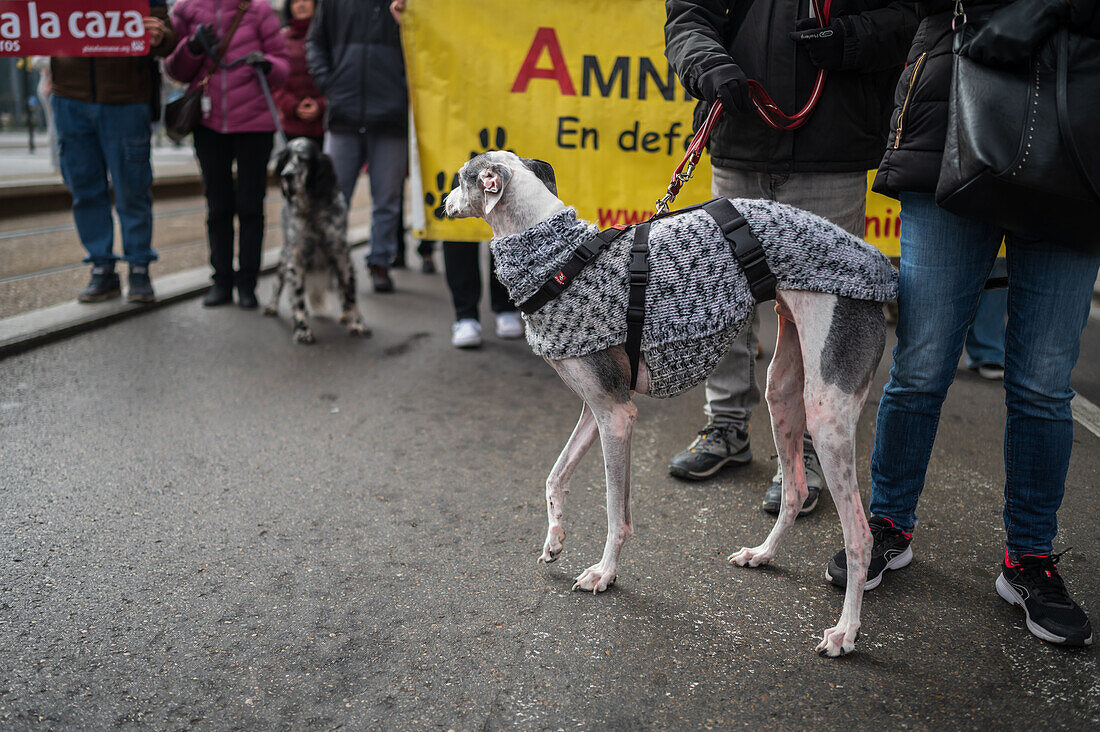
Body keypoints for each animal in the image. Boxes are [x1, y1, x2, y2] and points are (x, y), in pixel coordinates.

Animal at [444, 149, 893, 656]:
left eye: (460, 179)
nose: (441, 203)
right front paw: (555, 540)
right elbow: (554, 477)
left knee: (859, 534)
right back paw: (762, 554)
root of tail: (881, 266)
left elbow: (616, 512)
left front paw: (605, 573)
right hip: (783, 388)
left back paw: (845, 632)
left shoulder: (618, 416)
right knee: (794, 489)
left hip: (828, 414)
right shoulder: (596, 408)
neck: (559, 260)